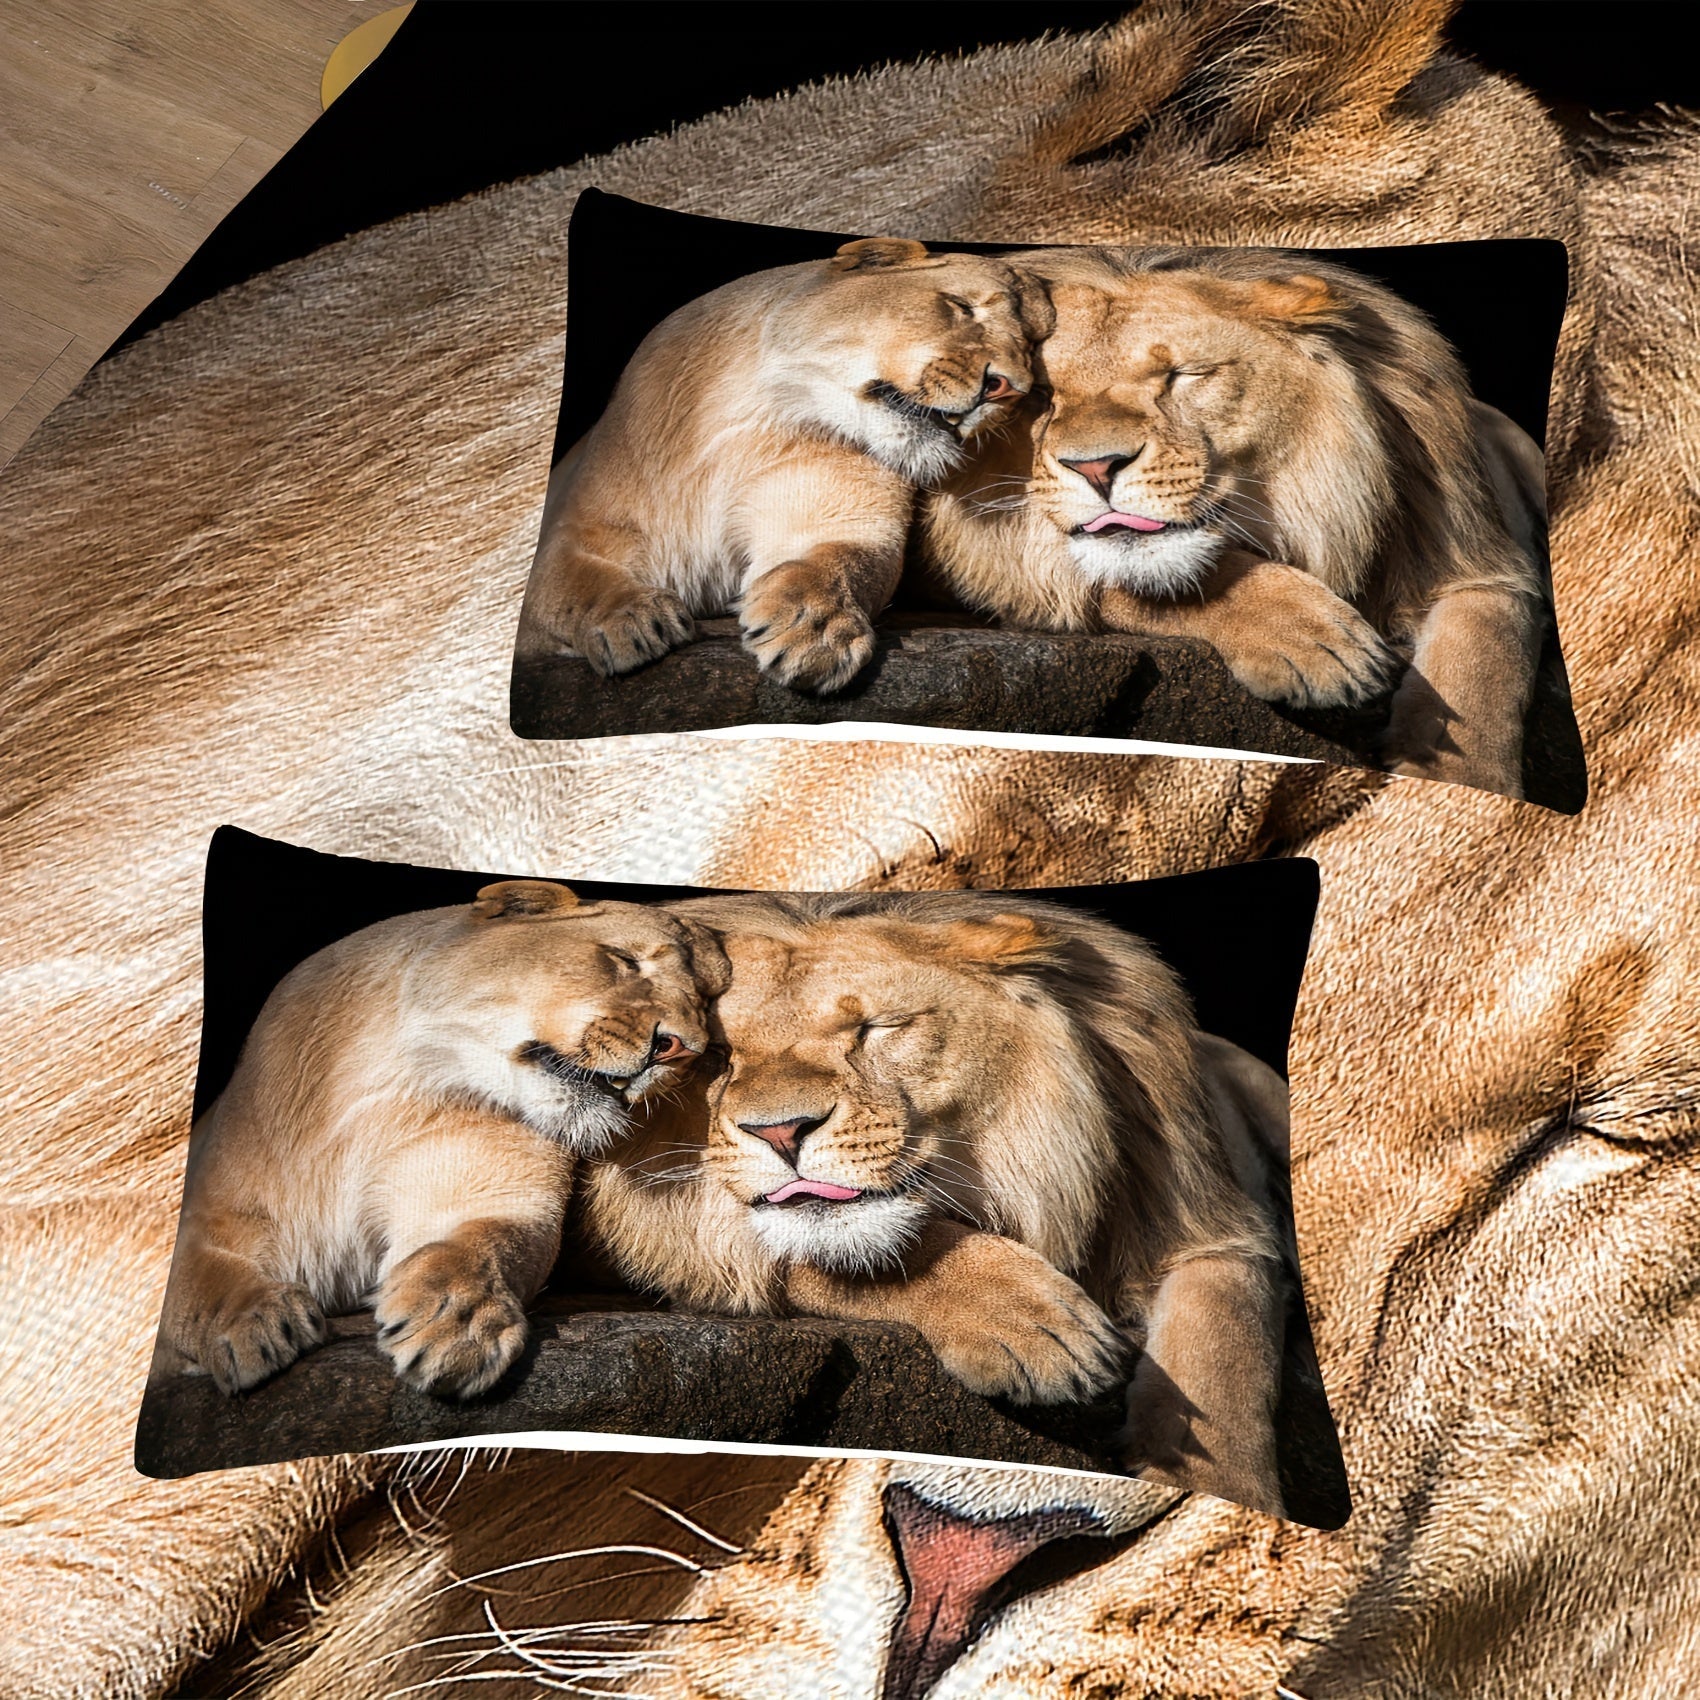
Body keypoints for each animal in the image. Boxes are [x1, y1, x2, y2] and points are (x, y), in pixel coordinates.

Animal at [153, 879, 726, 1400]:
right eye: (625, 960)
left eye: (707, 1004)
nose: (681, 1049)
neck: (389, 1090)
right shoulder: (216, 1205)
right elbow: (192, 1275)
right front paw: (250, 1322)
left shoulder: (492, 1191)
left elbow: (480, 1245)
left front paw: (458, 1322)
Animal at [514, 237, 1042, 692]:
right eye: (961, 306)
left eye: (1033, 347)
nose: (1008, 388)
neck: (752, 421)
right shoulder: (581, 523)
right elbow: (564, 582)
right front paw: (630, 619)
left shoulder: (840, 516)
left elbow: (837, 563)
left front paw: (815, 630)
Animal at [922, 246, 1551, 798]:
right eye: (1043, 395)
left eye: (1184, 375)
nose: (1096, 467)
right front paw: (1315, 641)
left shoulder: (1476, 559)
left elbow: (1484, 664)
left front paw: (1468, 787)